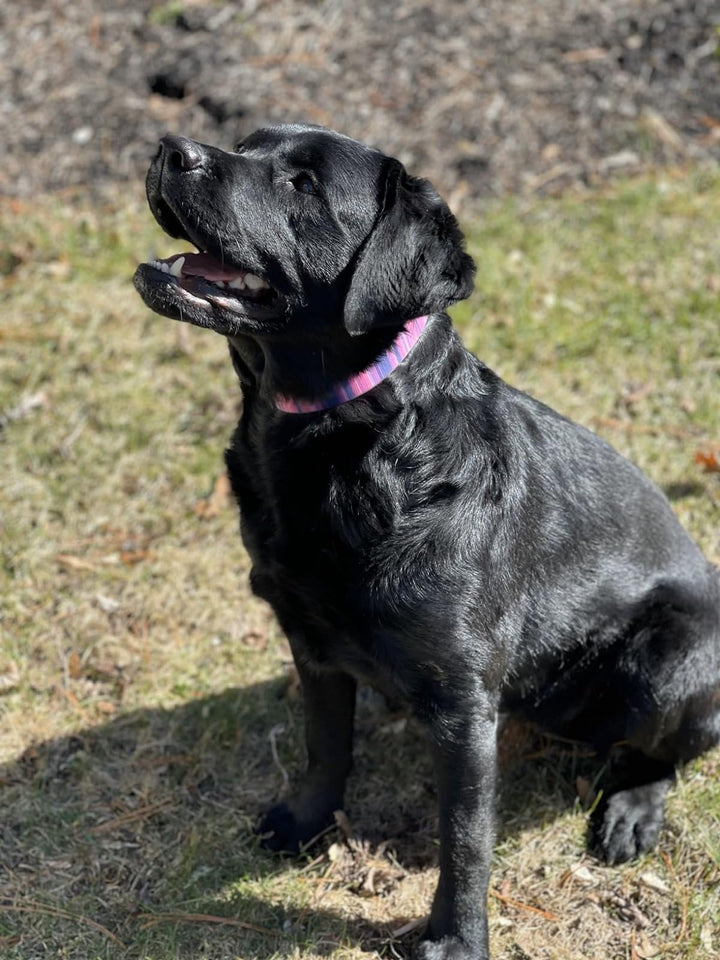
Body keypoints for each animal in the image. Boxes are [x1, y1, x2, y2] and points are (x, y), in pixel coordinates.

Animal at [134, 125, 716, 960]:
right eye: (247, 142)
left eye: (303, 185)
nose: (172, 147)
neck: (345, 446)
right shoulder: (311, 643)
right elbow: (325, 745)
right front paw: (306, 823)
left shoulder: (464, 706)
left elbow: (465, 839)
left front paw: (458, 940)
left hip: (665, 657)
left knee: (661, 750)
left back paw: (631, 812)